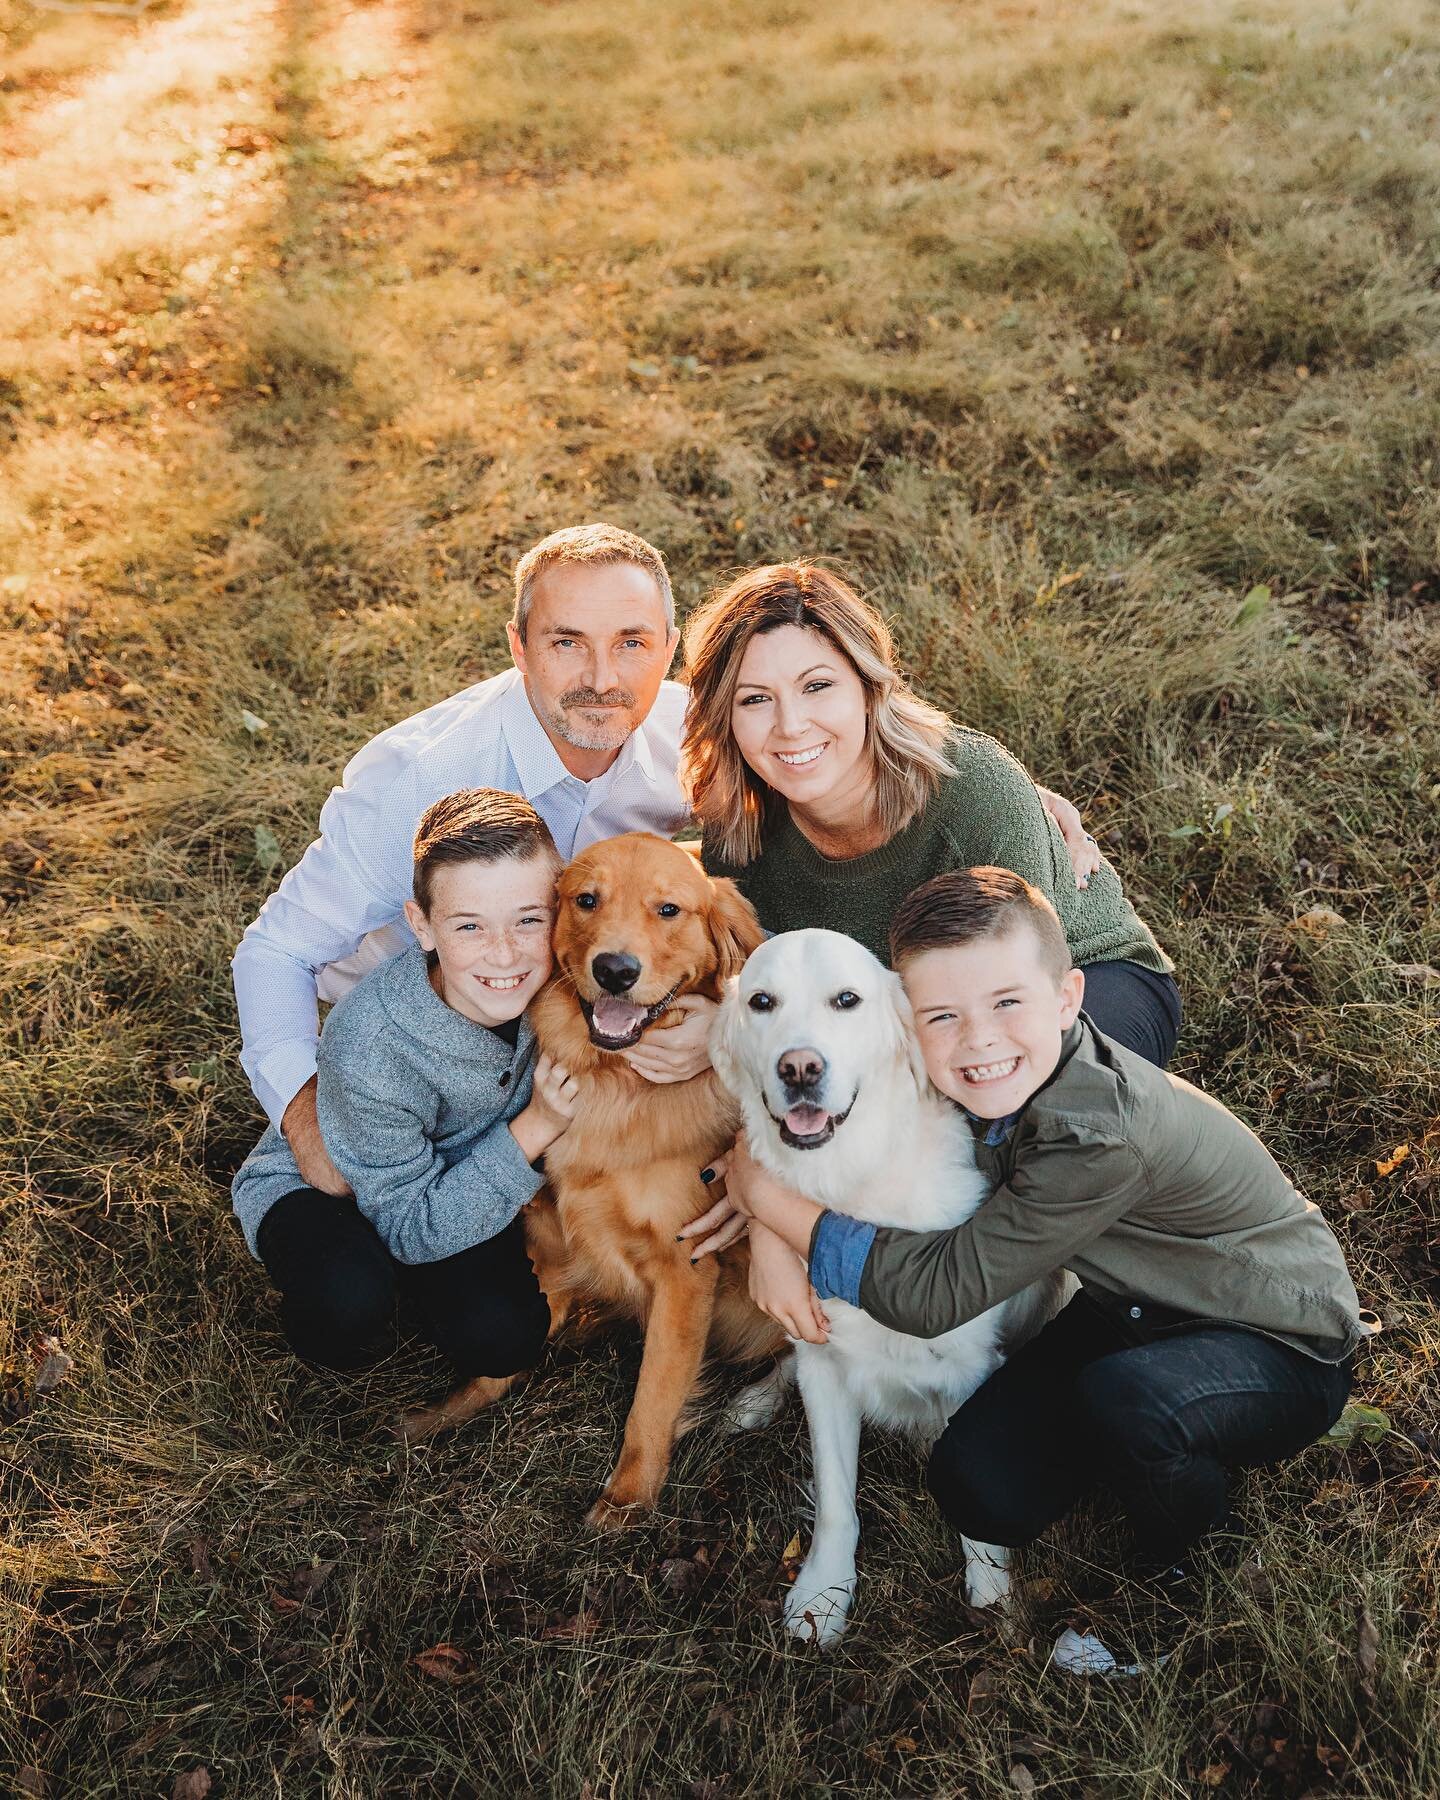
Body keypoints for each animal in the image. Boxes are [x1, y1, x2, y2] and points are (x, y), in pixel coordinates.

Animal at [712, 936, 1065, 1648]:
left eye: (847, 999)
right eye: (761, 1001)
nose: (799, 1068)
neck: (849, 1188)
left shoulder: (968, 1369)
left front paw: (993, 1599)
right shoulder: (824, 1363)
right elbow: (834, 1499)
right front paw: (823, 1595)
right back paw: (753, 1402)